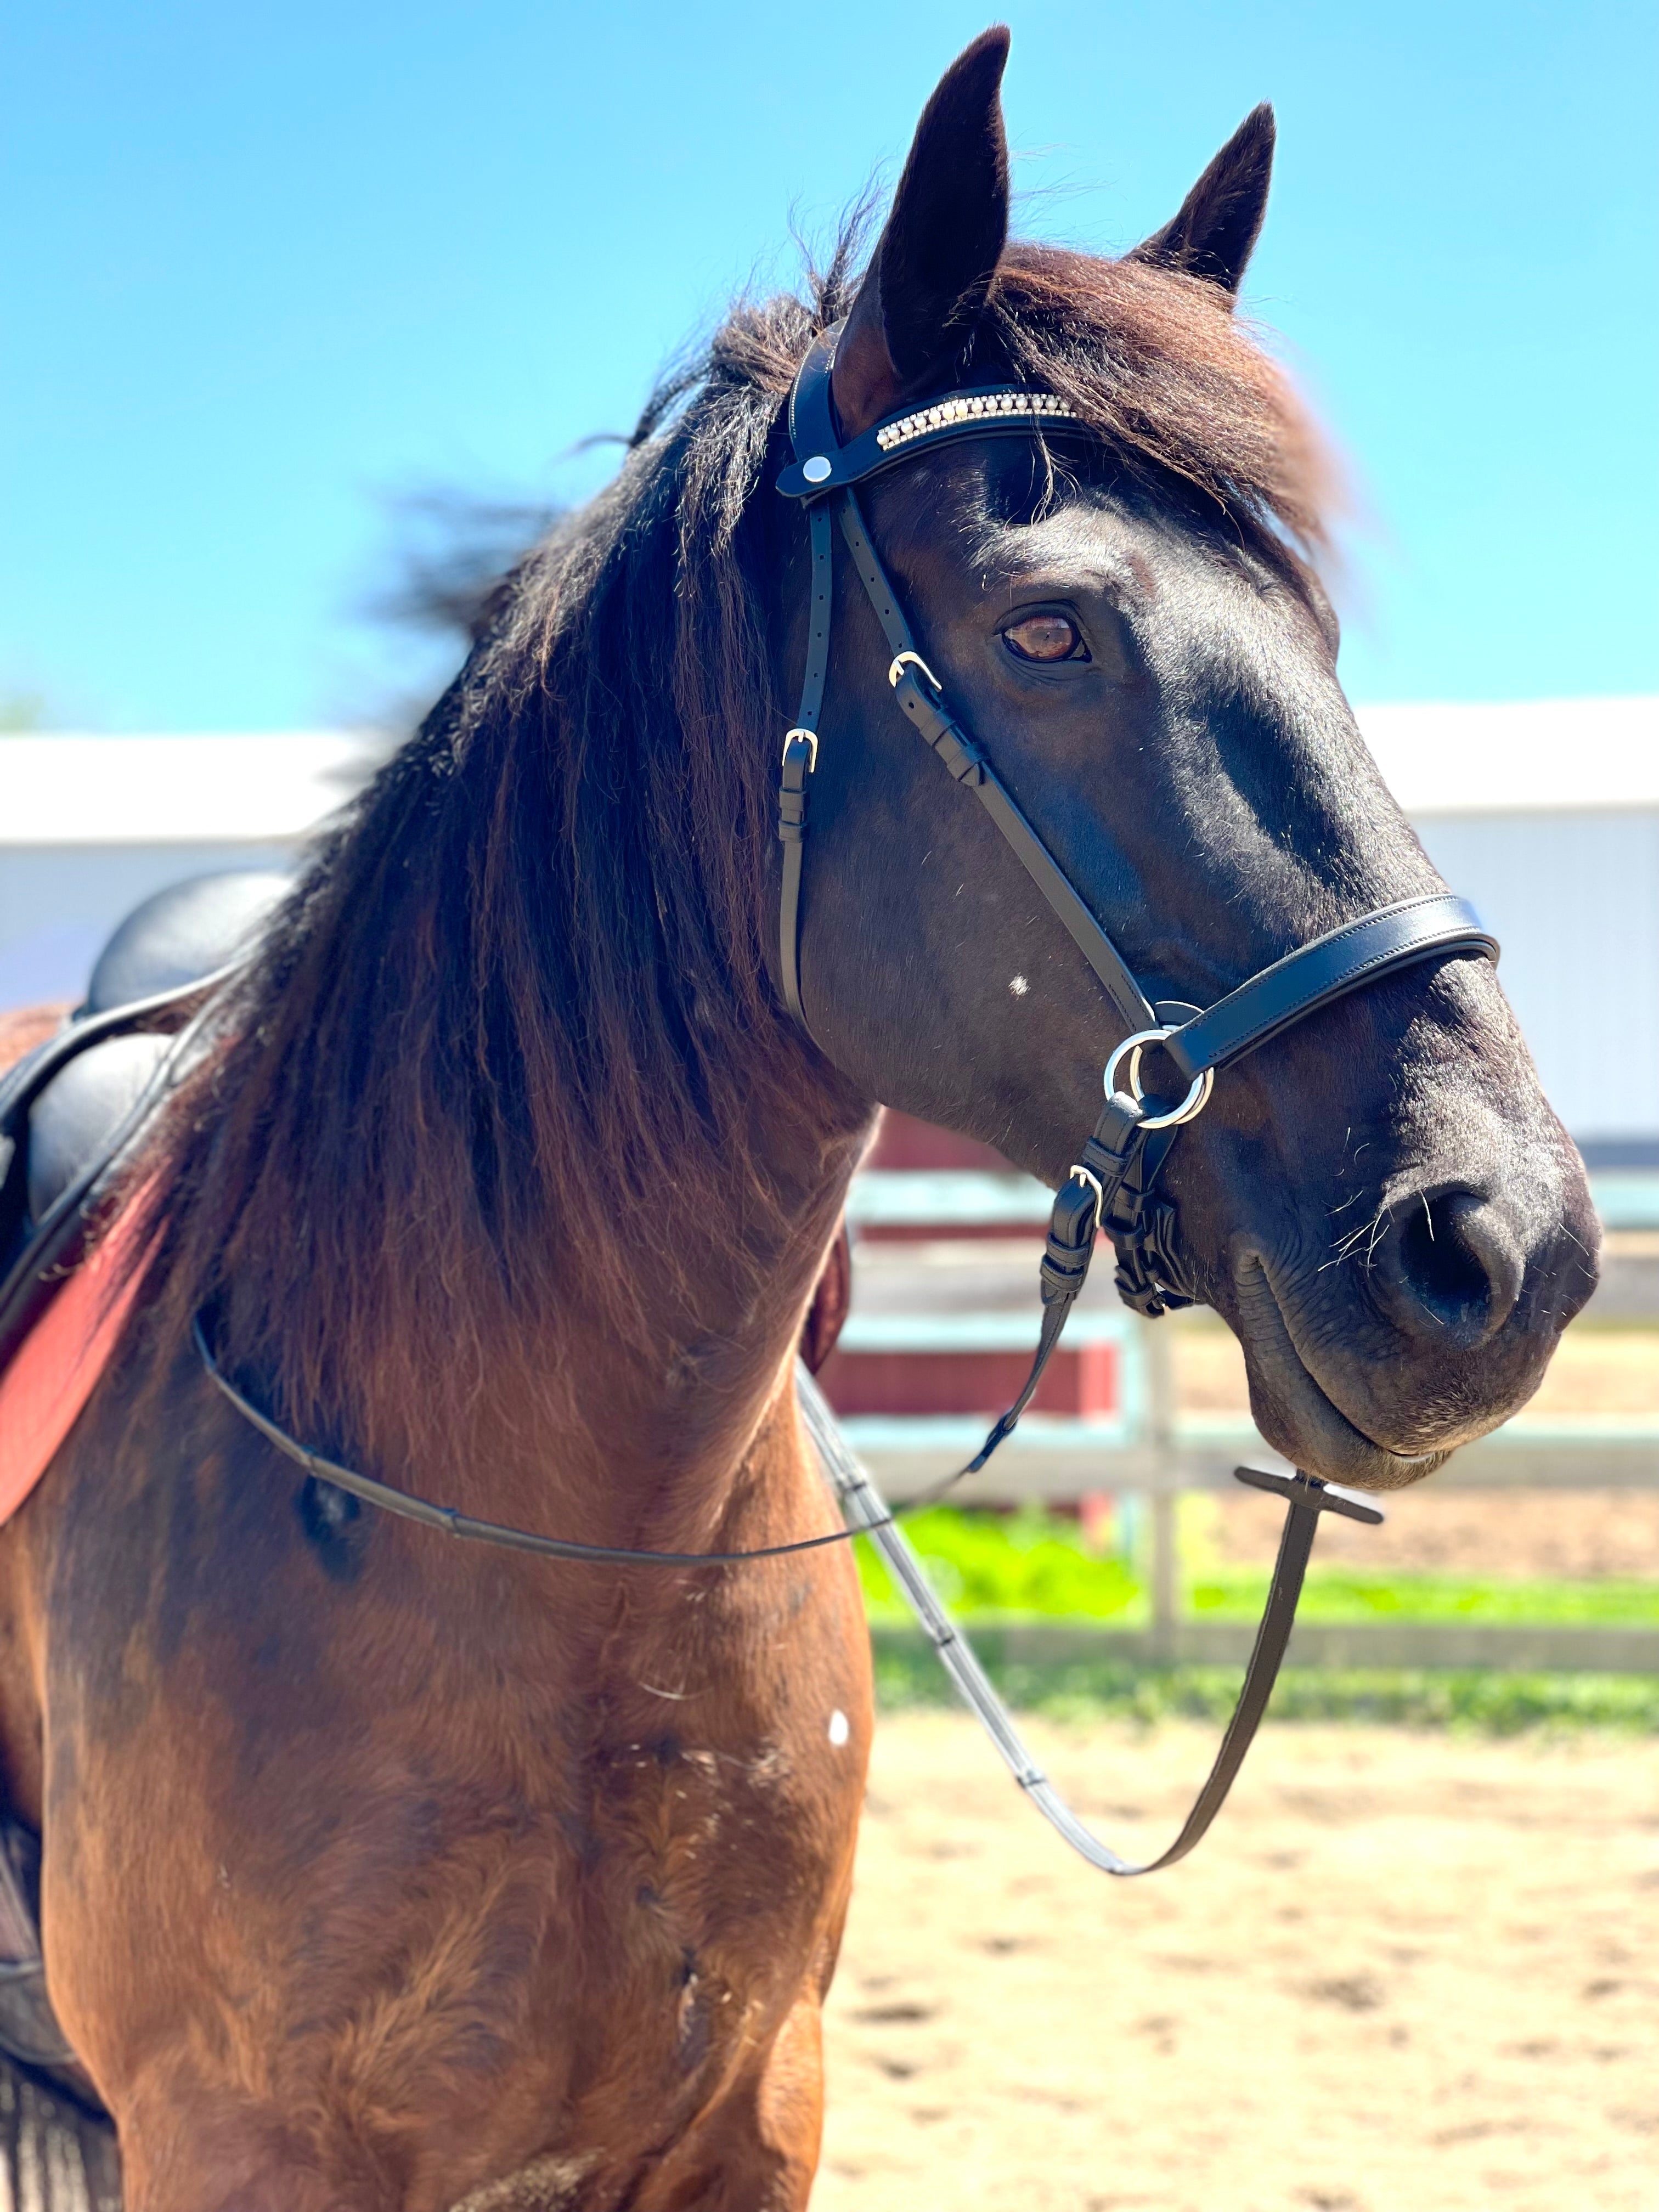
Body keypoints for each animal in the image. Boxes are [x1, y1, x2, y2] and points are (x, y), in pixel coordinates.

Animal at [0, 26, 1601, 2203]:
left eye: (1321, 641)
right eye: (1044, 628)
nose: (1505, 1246)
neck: (548, 1554)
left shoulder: (749, 2118)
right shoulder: (239, 2146)